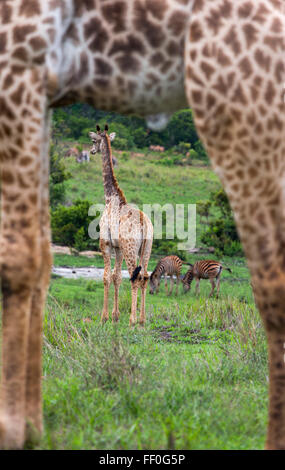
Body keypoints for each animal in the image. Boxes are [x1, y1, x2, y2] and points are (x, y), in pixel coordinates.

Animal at [89, 123, 152, 324]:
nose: (91, 151)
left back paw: (132, 320)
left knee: (135, 277)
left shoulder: (105, 242)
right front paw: (115, 315)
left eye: (93, 140)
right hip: (146, 249)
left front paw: (104, 316)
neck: (110, 198)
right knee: (145, 276)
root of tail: (144, 223)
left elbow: (106, 277)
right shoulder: (118, 247)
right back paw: (142, 319)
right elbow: (116, 276)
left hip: (131, 248)